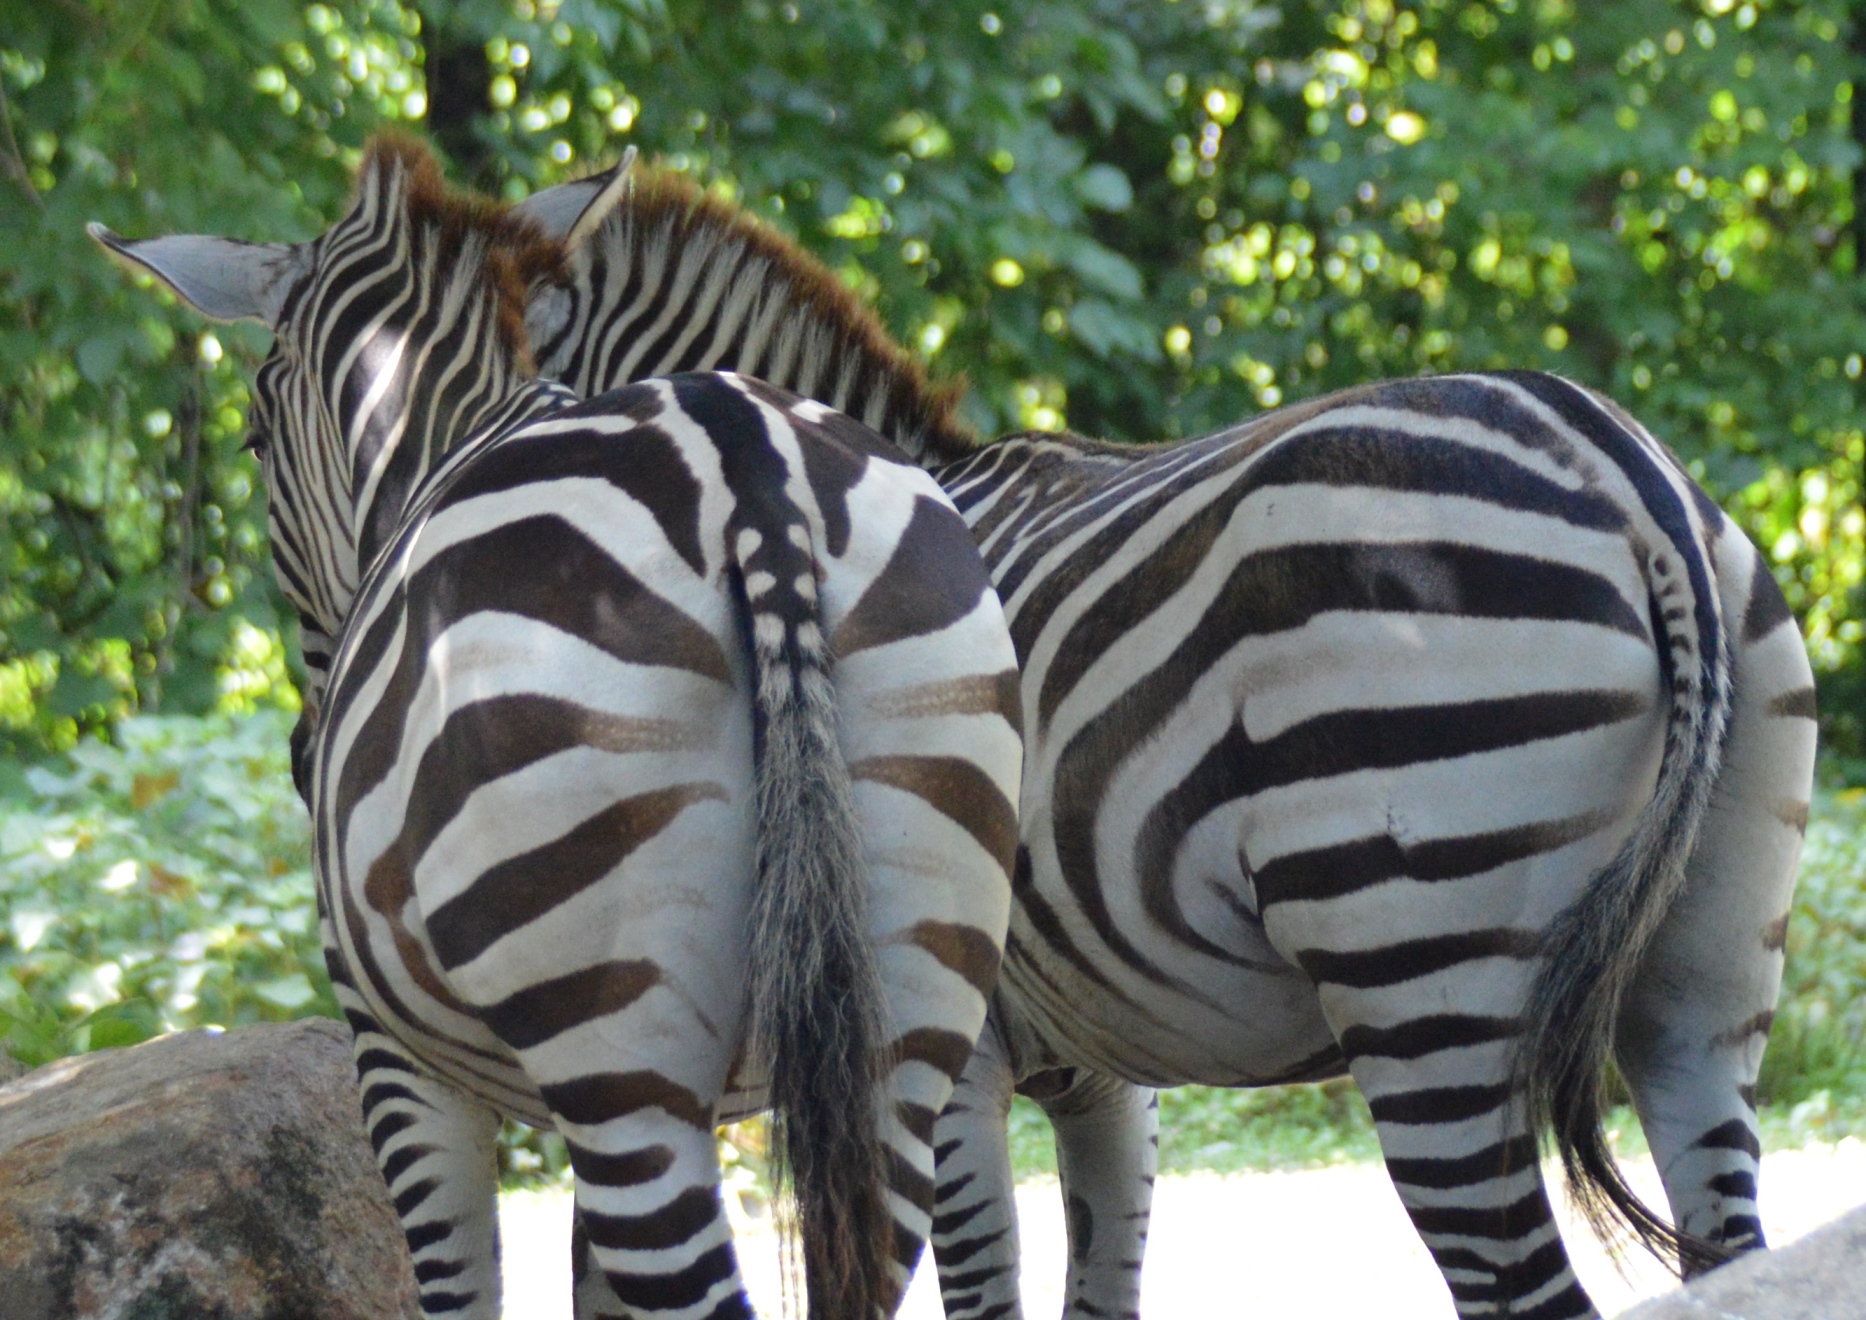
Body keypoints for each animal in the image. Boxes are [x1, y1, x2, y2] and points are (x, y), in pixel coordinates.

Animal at [87, 137, 1022, 1320]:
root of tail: (752, 470)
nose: (305, 761)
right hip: (908, 1029)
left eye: (253, 437)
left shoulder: (396, 1059)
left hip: (617, 1055)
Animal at [515, 162, 1821, 1320]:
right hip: (1711, 975)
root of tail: (1620, 467)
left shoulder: (944, 1050)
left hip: (1421, 955)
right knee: (1730, 1237)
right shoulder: (1107, 1064)